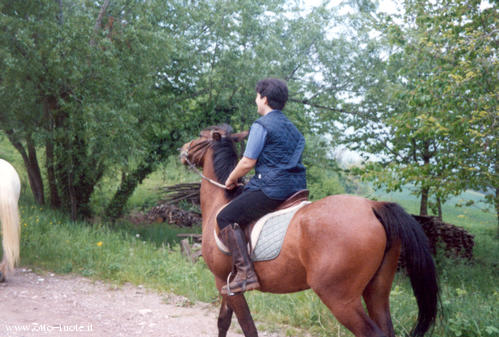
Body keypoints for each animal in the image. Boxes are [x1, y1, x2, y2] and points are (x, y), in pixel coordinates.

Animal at [180, 124, 438, 336]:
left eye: (199, 137)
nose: (182, 150)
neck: (221, 201)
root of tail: (373, 206)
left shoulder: (224, 283)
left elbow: (241, 326)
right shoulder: (226, 285)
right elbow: (225, 322)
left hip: (340, 299)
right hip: (377, 291)